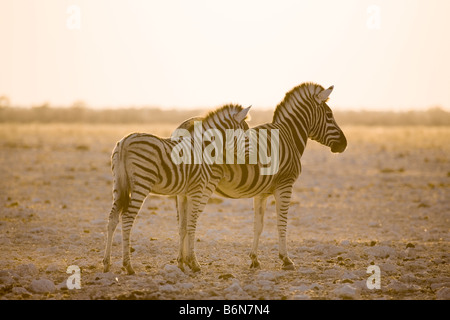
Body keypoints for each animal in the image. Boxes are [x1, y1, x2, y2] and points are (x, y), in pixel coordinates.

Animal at [103, 104, 253, 274]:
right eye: (246, 135)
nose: (252, 160)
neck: (205, 148)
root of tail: (125, 141)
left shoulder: (183, 194)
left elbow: (183, 226)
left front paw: (181, 262)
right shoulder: (197, 190)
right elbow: (191, 225)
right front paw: (194, 263)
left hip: (118, 184)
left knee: (112, 217)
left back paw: (107, 263)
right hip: (142, 182)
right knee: (127, 217)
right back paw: (128, 265)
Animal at [174, 82, 346, 270]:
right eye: (329, 115)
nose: (344, 144)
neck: (289, 136)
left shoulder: (261, 193)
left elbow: (259, 226)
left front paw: (254, 259)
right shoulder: (285, 185)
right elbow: (281, 223)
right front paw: (286, 259)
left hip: (185, 188)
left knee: (182, 223)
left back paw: (182, 261)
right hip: (204, 184)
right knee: (191, 220)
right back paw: (193, 261)